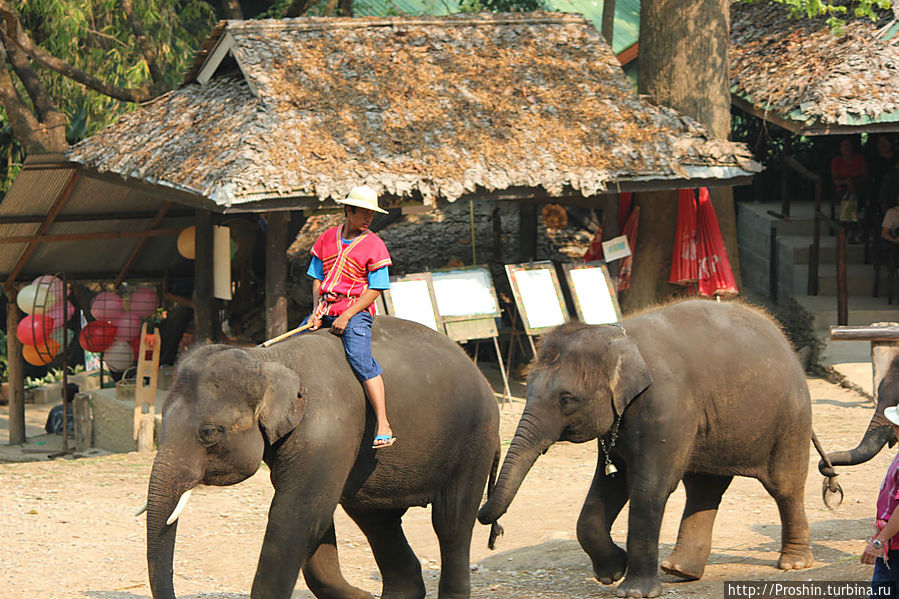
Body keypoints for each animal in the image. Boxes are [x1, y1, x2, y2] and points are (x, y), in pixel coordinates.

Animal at [144, 316, 502, 596]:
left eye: (209, 433)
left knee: (451, 523)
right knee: (377, 519)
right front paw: (361, 596)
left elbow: (297, 517)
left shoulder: (327, 429)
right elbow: (315, 517)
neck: (269, 358)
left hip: (475, 439)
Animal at [482, 302, 820, 596]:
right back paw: (679, 570)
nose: (496, 532)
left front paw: (633, 592)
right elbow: (610, 483)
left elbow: (649, 487)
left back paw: (793, 564)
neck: (617, 336)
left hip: (791, 418)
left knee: (785, 486)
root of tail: (781, 336)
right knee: (704, 487)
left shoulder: (666, 405)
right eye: (528, 389)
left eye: (566, 399)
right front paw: (612, 572)